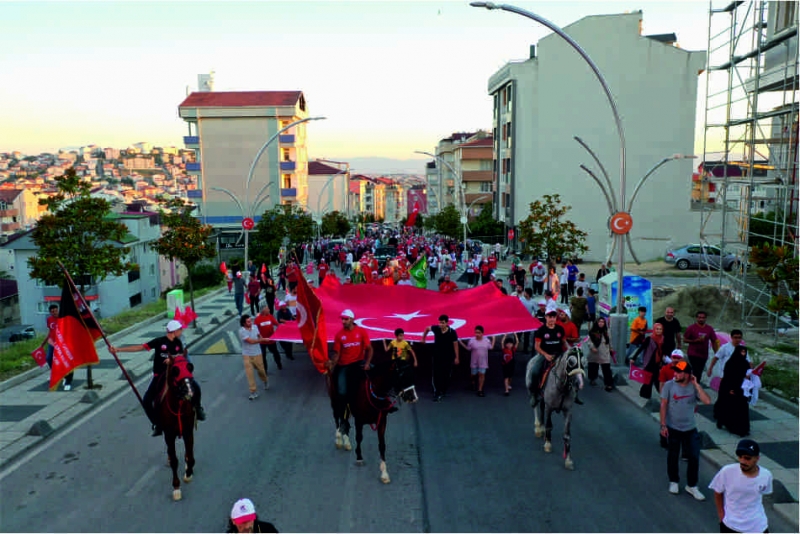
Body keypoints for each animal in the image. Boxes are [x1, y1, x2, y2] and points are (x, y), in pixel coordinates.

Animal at [157, 358, 198, 504]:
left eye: (190, 367)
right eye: (175, 371)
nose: (190, 392)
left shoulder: (188, 432)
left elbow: (190, 457)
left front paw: (188, 473)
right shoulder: (169, 435)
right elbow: (175, 460)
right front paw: (176, 488)